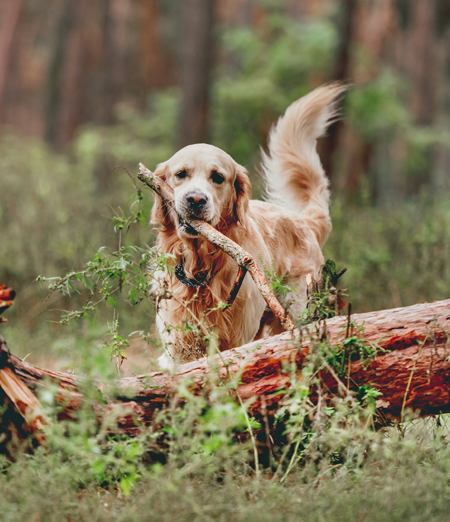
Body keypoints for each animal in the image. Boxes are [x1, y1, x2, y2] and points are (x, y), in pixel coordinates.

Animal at [151, 83, 344, 366]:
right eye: (180, 174)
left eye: (218, 177)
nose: (195, 199)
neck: (201, 266)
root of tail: (303, 220)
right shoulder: (177, 345)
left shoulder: (237, 335)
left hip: (295, 307)